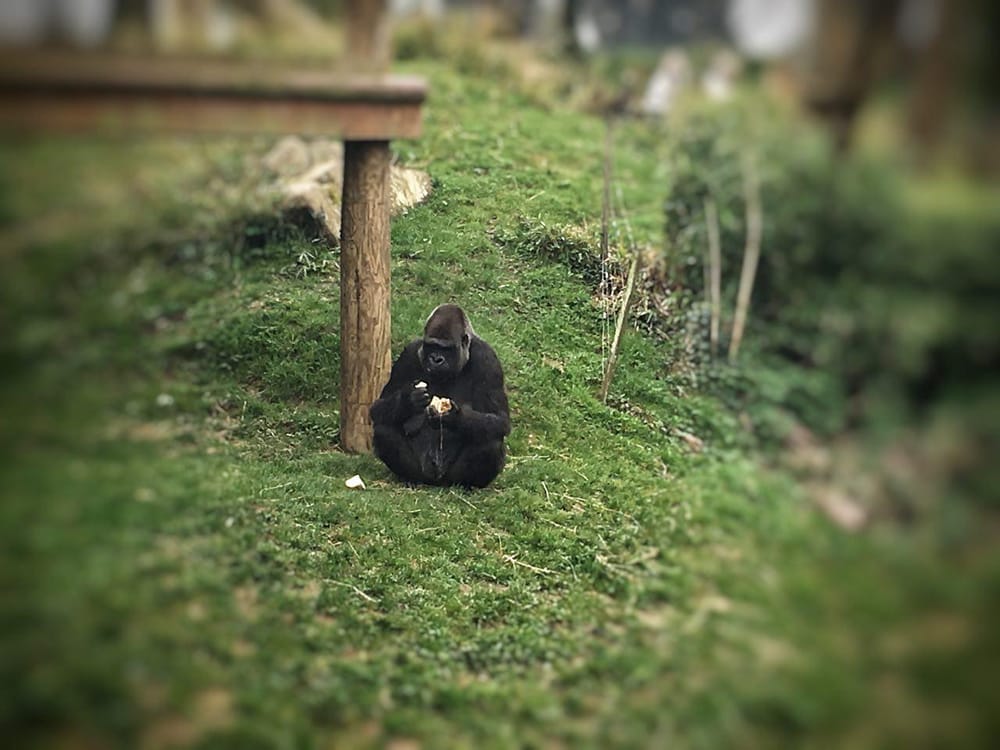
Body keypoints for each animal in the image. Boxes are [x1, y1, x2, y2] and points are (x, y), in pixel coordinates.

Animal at [369, 304, 511, 488]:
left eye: (446, 348)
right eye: (432, 346)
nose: (436, 359)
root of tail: (437, 482)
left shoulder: (488, 359)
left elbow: (500, 419)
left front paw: (454, 417)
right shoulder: (409, 353)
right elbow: (378, 408)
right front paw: (409, 401)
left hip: (450, 478)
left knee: (491, 441)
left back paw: (468, 485)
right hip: (424, 472)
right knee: (383, 430)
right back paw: (410, 478)